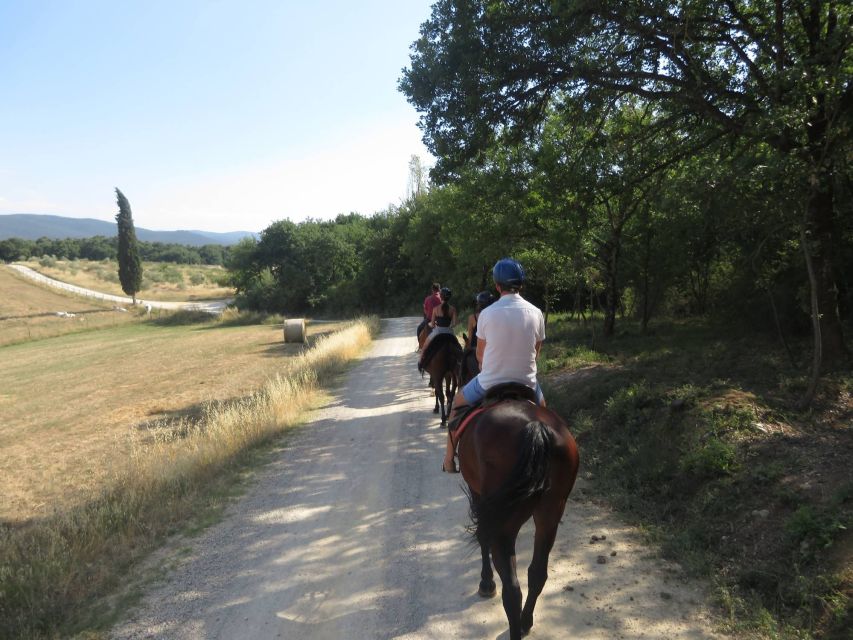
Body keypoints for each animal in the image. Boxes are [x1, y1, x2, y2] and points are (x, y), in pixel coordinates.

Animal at [452, 384, 580, 640]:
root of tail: (537, 429)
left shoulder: (478, 495)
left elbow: (482, 538)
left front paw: (486, 583)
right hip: (550, 515)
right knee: (537, 574)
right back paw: (525, 622)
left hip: (504, 524)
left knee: (512, 589)